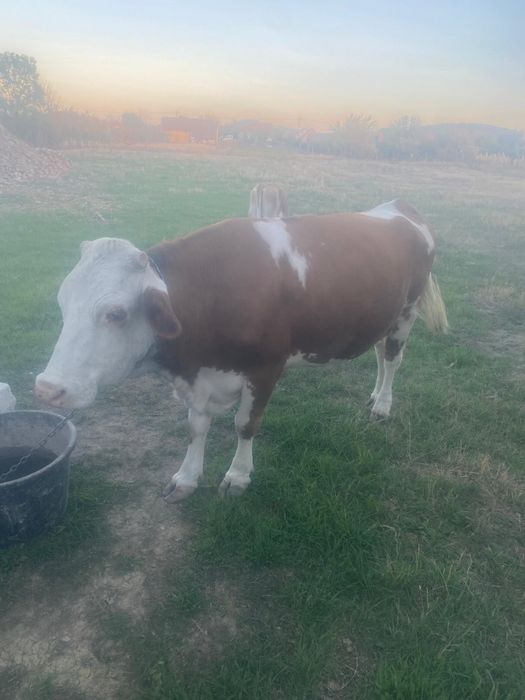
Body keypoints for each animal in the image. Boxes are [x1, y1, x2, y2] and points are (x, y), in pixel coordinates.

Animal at [35, 199, 448, 501]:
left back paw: (383, 404)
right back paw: (375, 395)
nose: (48, 388)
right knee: (379, 353)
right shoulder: (199, 377)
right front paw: (186, 477)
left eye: (116, 314)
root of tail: (398, 207)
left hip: (406, 312)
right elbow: (195, 427)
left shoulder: (265, 369)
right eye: (61, 303)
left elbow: (245, 424)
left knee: (392, 359)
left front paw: (237, 476)